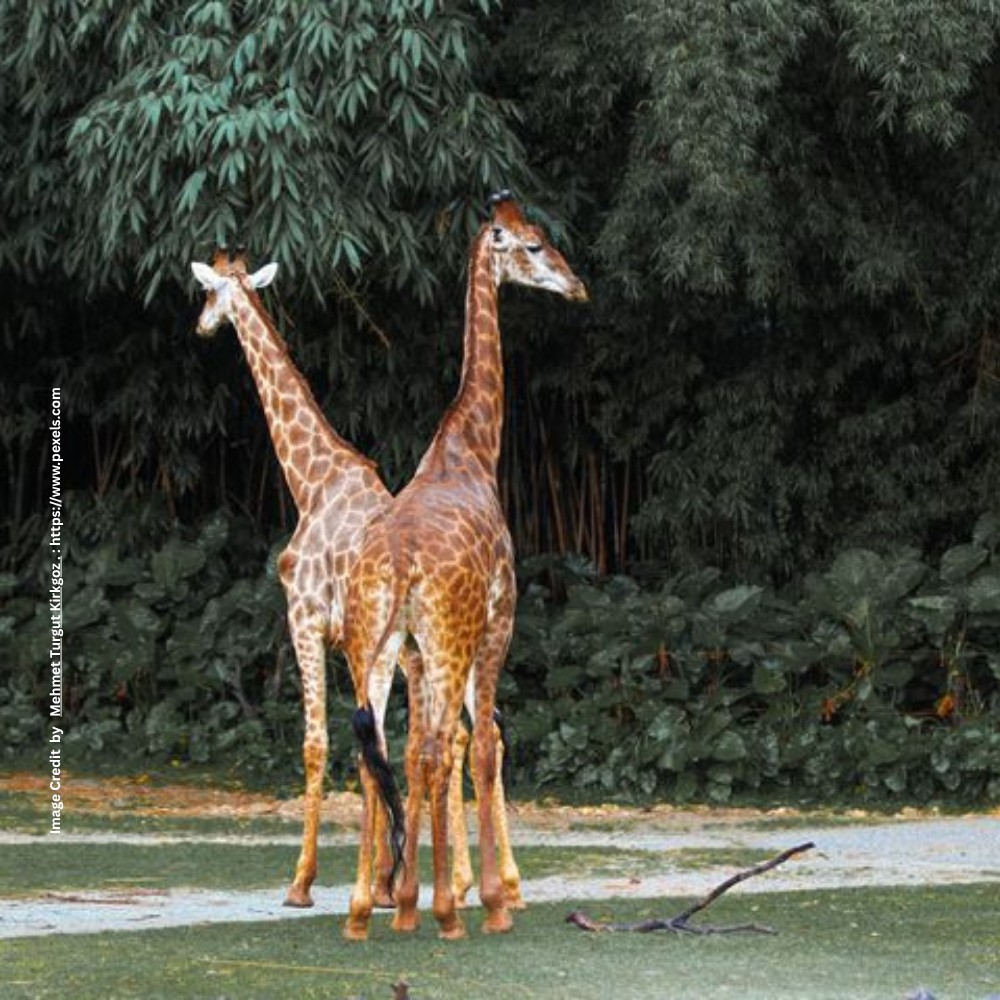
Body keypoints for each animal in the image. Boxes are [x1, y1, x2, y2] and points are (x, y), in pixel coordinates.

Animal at [189, 249, 517, 914]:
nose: (202, 327)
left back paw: (459, 882)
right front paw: (387, 880)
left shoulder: (308, 620)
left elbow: (320, 743)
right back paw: (477, 882)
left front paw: (305, 883)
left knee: (453, 736)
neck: (312, 480)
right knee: (473, 731)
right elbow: (378, 746)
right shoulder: (357, 646)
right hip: (436, 650)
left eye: (207, 294)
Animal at [343, 192, 588, 940]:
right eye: (534, 245)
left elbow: (430, 747)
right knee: (431, 747)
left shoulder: (419, 651)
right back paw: (448, 913)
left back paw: (367, 911)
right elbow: (477, 745)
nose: (577, 284)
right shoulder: (498, 622)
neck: (471, 450)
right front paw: (491, 898)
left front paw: (411, 894)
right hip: (449, 638)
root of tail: (396, 564)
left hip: (373, 642)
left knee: (374, 748)